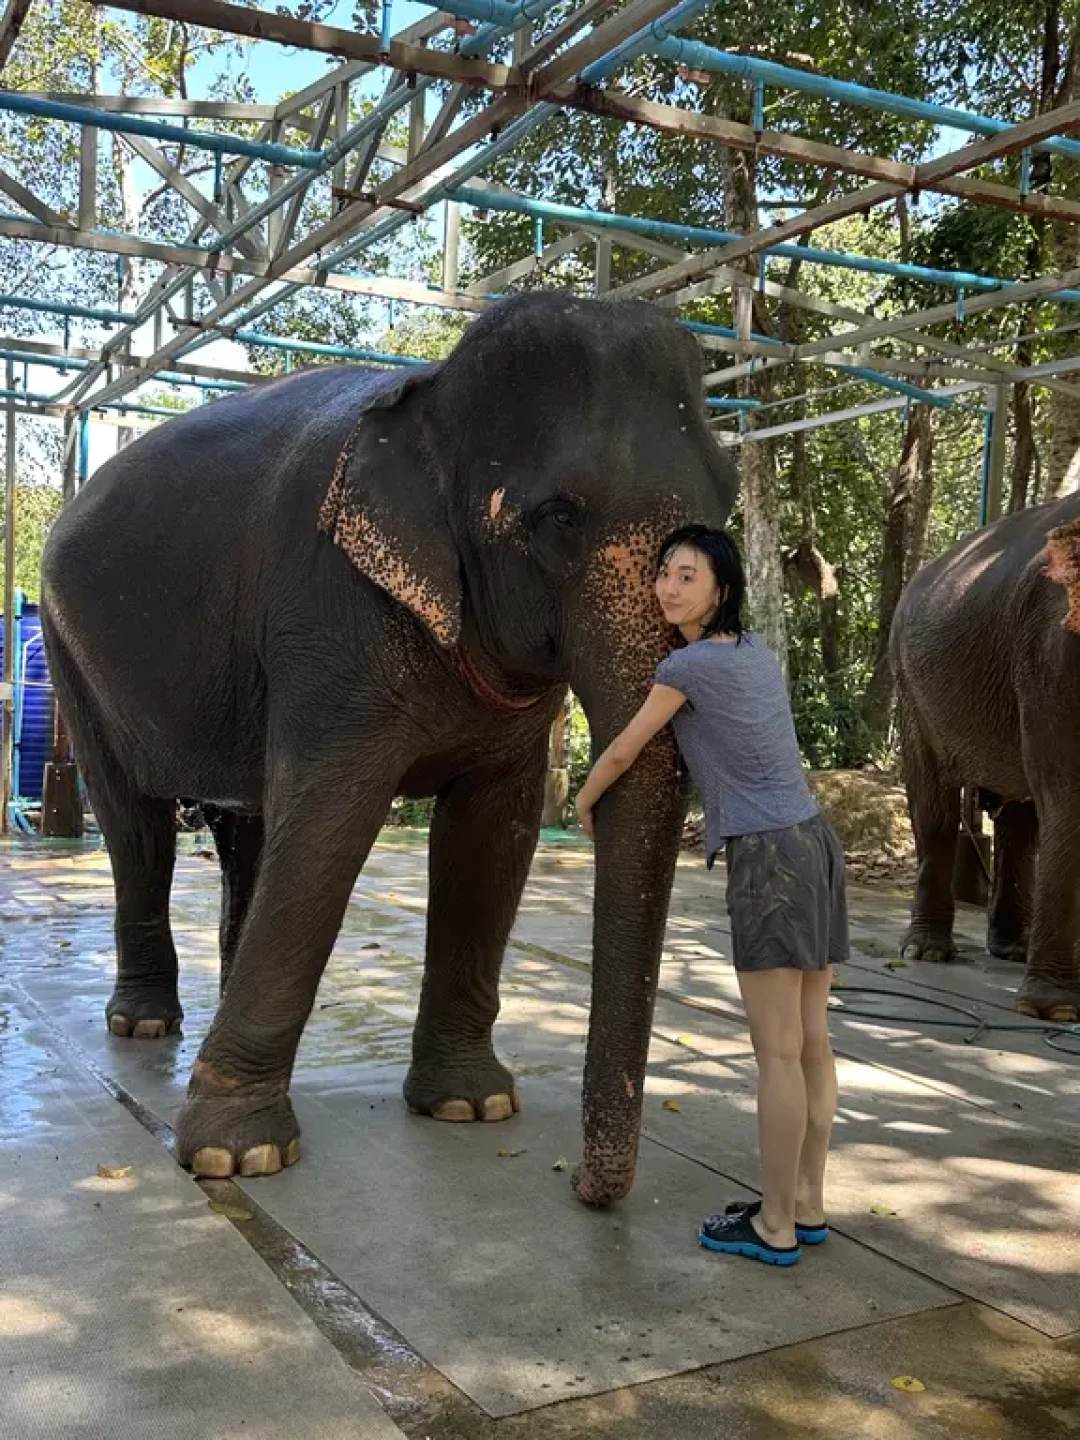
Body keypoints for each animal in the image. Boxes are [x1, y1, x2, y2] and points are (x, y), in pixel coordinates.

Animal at [41, 293, 738, 1205]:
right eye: (557, 518)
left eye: (730, 500)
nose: (585, 1187)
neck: (431, 392)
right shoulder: (329, 611)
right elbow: (329, 824)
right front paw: (238, 1159)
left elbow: (493, 836)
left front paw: (471, 1108)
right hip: (71, 653)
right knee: (137, 826)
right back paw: (146, 1024)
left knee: (246, 827)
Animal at [890, 491, 1080, 1022]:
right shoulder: (1050, 650)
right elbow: (1068, 794)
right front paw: (1056, 1011)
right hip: (912, 693)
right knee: (934, 807)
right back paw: (927, 951)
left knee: (1021, 816)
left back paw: (1013, 949)